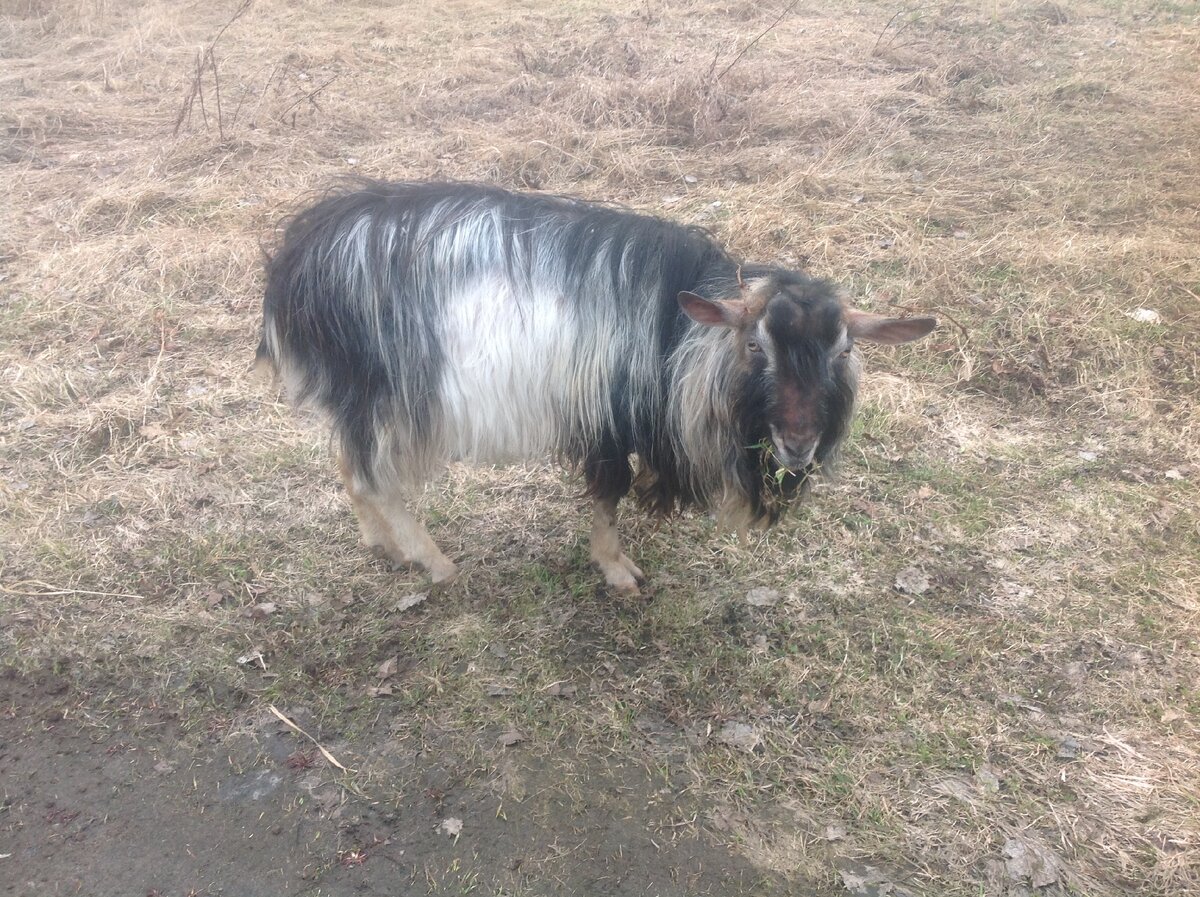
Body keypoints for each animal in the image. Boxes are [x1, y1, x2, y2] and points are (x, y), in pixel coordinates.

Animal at [258, 178, 936, 592]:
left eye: (843, 352)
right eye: (755, 346)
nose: (798, 444)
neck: (674, 330)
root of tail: (292, 266)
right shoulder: (607, 421)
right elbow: (608, 496)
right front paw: (616, 570)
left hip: (354, 399)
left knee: (350, 468)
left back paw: (383, 546)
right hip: (384, 395)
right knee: (377, 477)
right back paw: (434, 561)